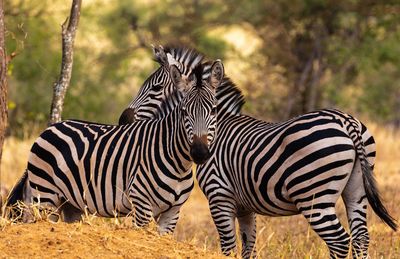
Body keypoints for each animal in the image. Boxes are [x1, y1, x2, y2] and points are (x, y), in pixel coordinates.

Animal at [7, 59, 225, 236]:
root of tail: (50, 128)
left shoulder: (172, 213)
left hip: (70, 204)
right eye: (184, 111)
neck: (179, 163)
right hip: (45, 195)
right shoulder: (141, 206)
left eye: (214, 110)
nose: (199, 153)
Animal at [117, 54, 396, 258]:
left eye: (155, 87)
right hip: (356, 191)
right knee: (361, 239)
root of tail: (345, 121)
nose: (123, 120)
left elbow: (229, 248)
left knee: (339, 241)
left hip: (315, 198)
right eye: (186, 111)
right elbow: (248, 247)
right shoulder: (244, 206)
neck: (220, 125)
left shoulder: (219, 197)